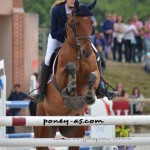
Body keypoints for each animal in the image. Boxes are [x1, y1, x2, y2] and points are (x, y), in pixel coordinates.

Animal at [33, 0, 99, 149]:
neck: (78, 52)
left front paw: (89, 97)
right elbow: (70, 68)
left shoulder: (95, 72)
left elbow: (93, 76)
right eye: (76, 22)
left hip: (75, 133)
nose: (87, 52)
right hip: (42, 132)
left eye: (91, 22)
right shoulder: (58, 77)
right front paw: (70, 87)